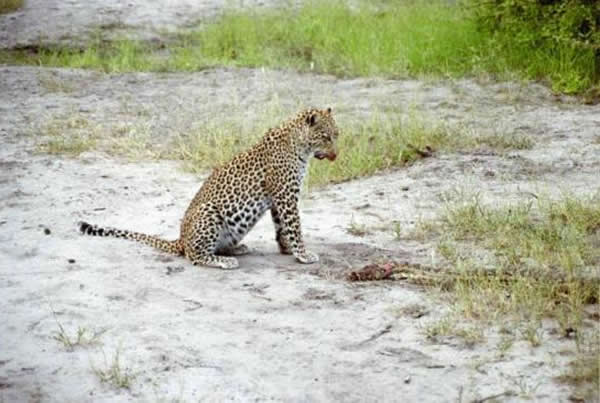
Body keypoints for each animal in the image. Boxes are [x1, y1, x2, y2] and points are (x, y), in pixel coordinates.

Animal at [79, 107, 339, 269]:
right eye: (326, 137)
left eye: (337, 135)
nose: (337, 155)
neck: (299, 144)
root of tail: (180, 240)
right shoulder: (286, 196)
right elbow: (294, 227)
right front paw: (303, 254)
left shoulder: (278, 198)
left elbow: (281, 228)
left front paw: (287, 250)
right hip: (208, 212)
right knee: (194, 256)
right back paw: (224, 261)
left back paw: (235, 249)